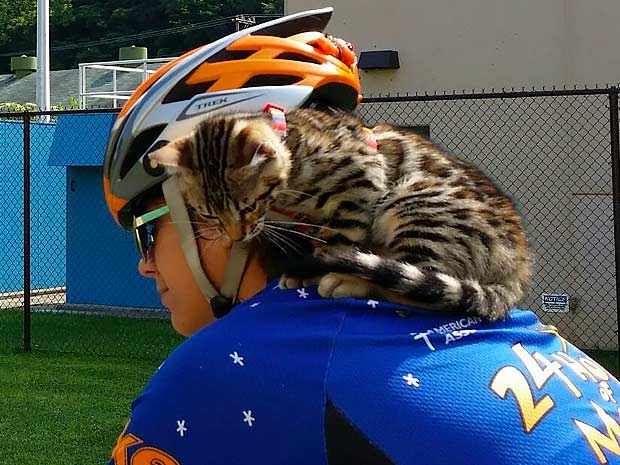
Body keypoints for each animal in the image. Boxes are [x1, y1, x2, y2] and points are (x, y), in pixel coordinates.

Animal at [151, 108, 532, 320]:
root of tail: (516, 269)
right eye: (209, 214)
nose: (236, 235)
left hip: (414, 202)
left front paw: (316, 268)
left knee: (421, 287)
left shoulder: (361, 180)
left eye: (247, 206)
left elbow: (335, 240)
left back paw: (351, 279)